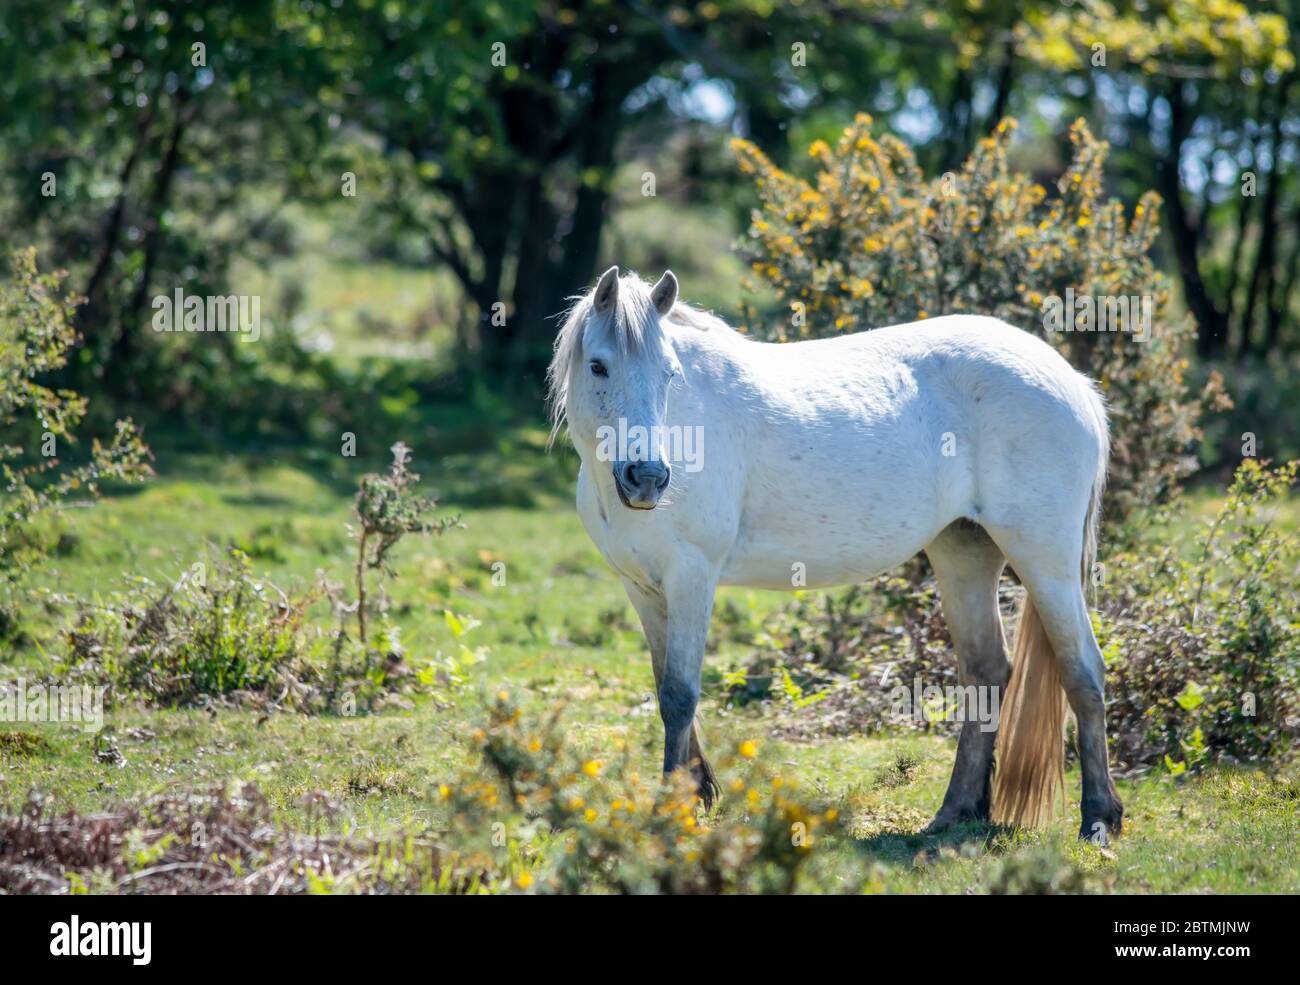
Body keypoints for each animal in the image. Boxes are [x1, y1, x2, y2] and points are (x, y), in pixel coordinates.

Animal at [546, 265, 1124, 843]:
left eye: (670, 373)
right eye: (599, 365)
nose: (646, 478)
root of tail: (1072, 382)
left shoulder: (692, 577)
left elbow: (680, 694)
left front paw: (674, 811)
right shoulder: (644, 588)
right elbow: (666, 687)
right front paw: (693, 791)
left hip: (1045, 561)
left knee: (1083, 671)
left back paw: (1098, 819)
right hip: (964, 552)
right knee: (985, 672)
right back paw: (956, 811)